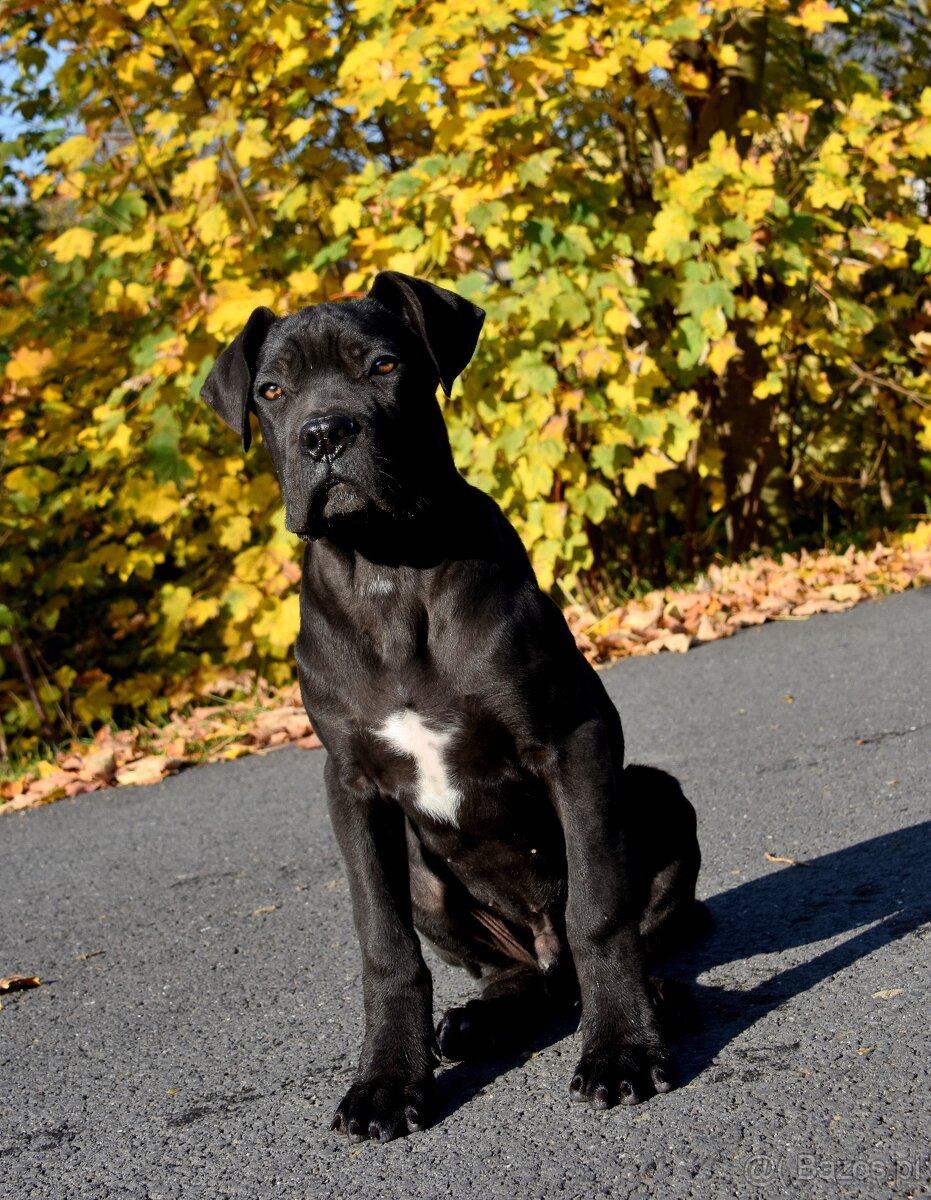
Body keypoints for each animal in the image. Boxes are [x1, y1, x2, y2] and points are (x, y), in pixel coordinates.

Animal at [200, 272, 700, 1142]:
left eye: (383, 365)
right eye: (271, 390)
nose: (324, 435)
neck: (388, 568)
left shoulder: (575, 738)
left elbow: (599, 908)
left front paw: (622, 1050)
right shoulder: (351, 785)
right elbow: (384, 944)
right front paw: (385, 1081)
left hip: (654, 791)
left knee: (612, 936)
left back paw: (654, 1000)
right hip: (420, 864)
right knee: (517, 973)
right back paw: (481, 1019)